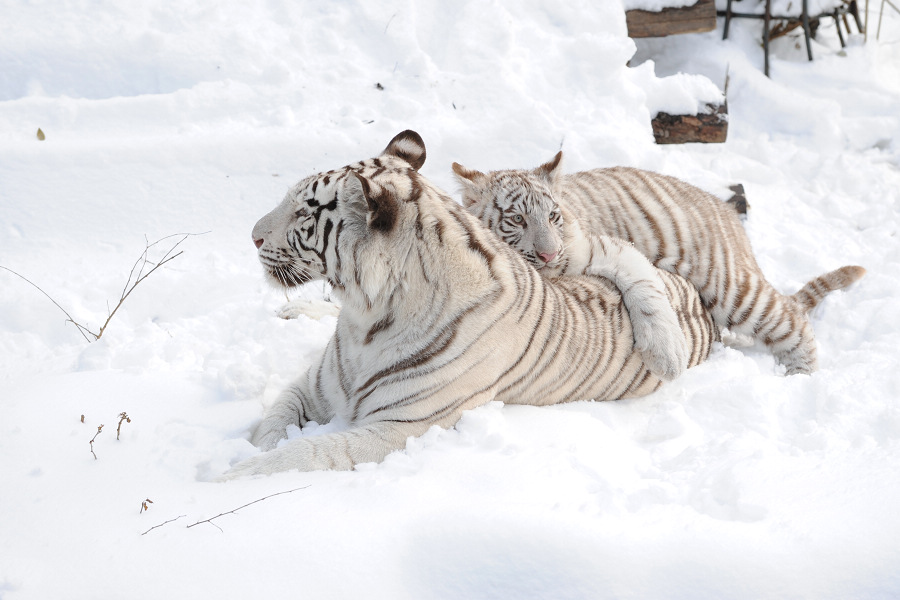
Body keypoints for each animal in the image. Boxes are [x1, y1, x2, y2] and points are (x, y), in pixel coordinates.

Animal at [220, 131, 716, 478]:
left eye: (304, 212)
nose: (252, 236)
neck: (365, 315)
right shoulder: (313, 388)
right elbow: (273, 424)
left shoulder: (403, 425)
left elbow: (311, 452)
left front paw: (233, 479)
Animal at [454, 155, 868, 376]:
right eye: (517, 220)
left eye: (553, 216)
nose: (550, 256)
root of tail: (729, 212)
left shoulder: (606, 247)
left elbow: (647, 292)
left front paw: (666, 357)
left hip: (733, 289)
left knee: (792, 321)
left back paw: (800, 378)